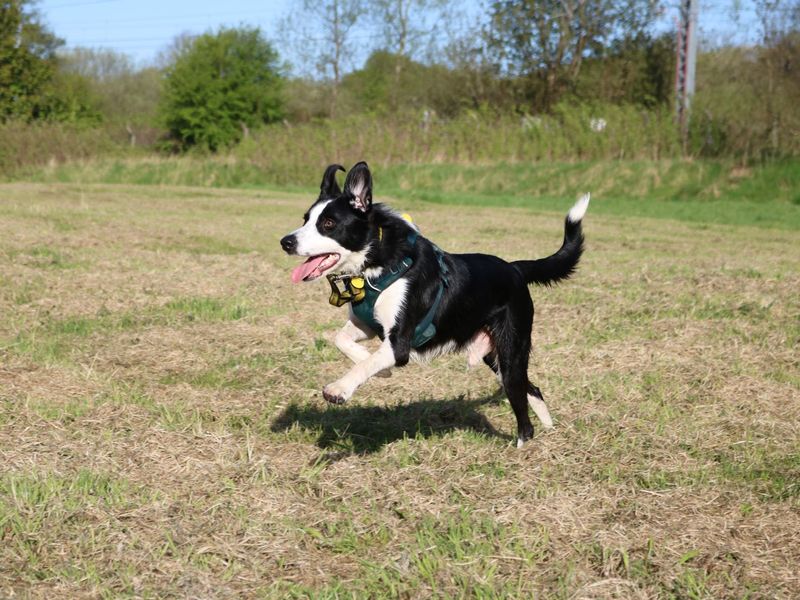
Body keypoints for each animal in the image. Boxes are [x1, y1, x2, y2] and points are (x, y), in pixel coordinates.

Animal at [280, 162, 588, 448]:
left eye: (328, 224)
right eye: (305, 219)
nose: (286, 242)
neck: (377, 263)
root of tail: (514, 268)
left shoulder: (400, 343)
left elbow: (365, 363)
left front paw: (340, 388)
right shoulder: (367, 325)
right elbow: (342, 341)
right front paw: (383, 371)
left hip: (511, 351)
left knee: (522, 406)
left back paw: (523, 446)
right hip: (495, 356)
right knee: (532, 389)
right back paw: (549, 428)